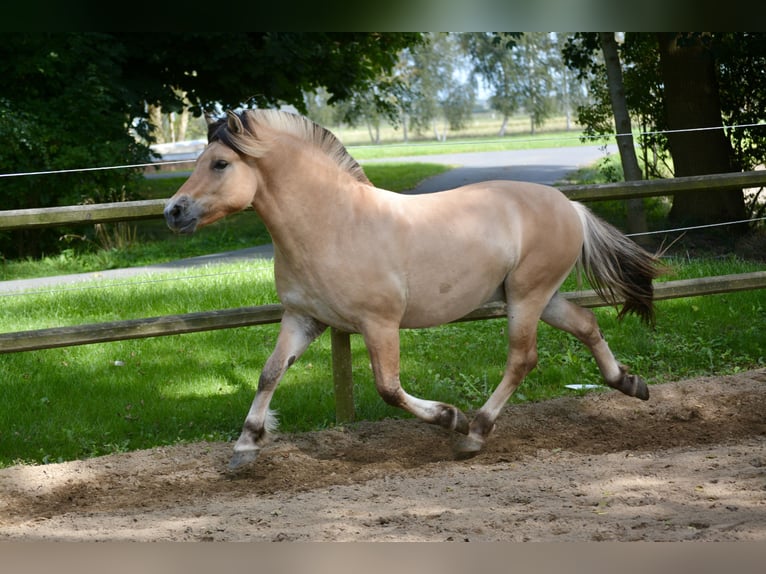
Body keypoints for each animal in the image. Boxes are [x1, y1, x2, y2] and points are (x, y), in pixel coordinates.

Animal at [164, 109, 664, 472]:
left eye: (220, 163)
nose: (173, 211)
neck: (333, 224)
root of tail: (569, 205)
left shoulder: (379, 323)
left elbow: (388, 388)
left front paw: (450, 417)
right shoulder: (304, 319)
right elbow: (269, 374)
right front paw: (245, 448)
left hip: (526, 297)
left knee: (523, 358)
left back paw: (474, 433)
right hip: (538, 296)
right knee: (586, 324)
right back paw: (631, 384)